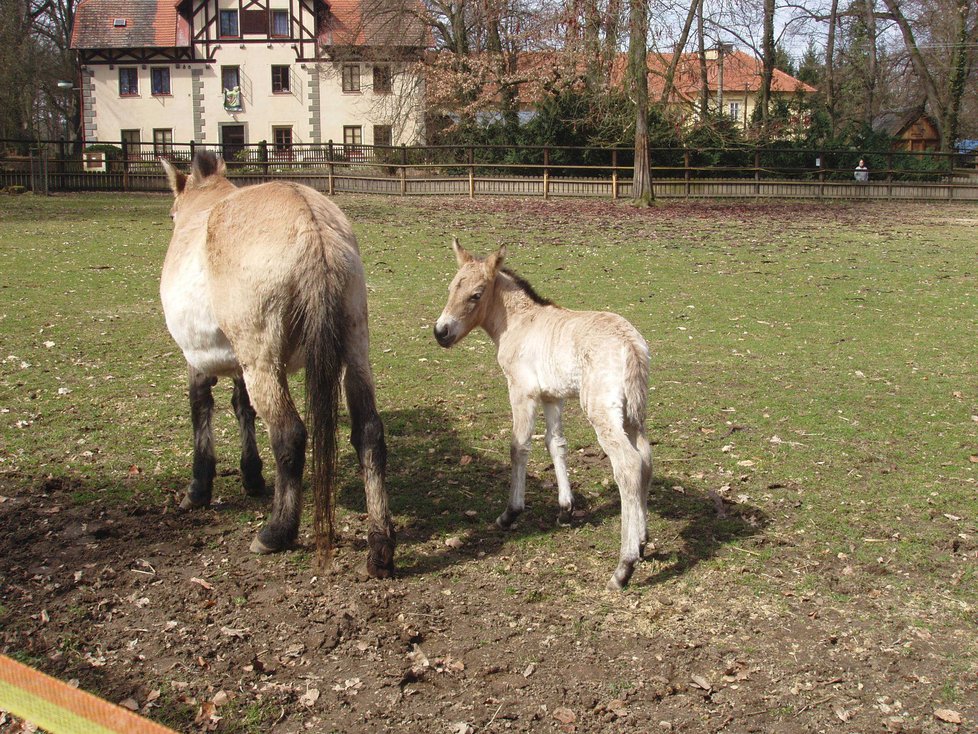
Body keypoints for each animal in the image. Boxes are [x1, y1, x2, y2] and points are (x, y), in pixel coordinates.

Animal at [156, 154, 392, 580]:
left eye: (171, 215)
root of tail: (312, 227)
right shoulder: (238, 365)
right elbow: (241, 408)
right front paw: (251, 476)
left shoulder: (198, 359)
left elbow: (201, 411)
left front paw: (198, 489)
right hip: (354, 351)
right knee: (369, 433)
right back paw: (380, 547)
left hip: (263, 364)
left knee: (289, 435)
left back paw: (276, 532)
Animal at [432, 242, 648, 592]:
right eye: (452, 287)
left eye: (476, 294)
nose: (441, 332)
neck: (521, 322)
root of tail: (631, 344)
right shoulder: (551, 396)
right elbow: (555, 443)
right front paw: (565, 510)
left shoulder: (522, 391)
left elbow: (519, 446)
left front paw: (510, 513)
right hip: (633, 414)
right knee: (645, 460)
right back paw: (642, 542)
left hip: (603, 411)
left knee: (628, 466)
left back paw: (624, 568)